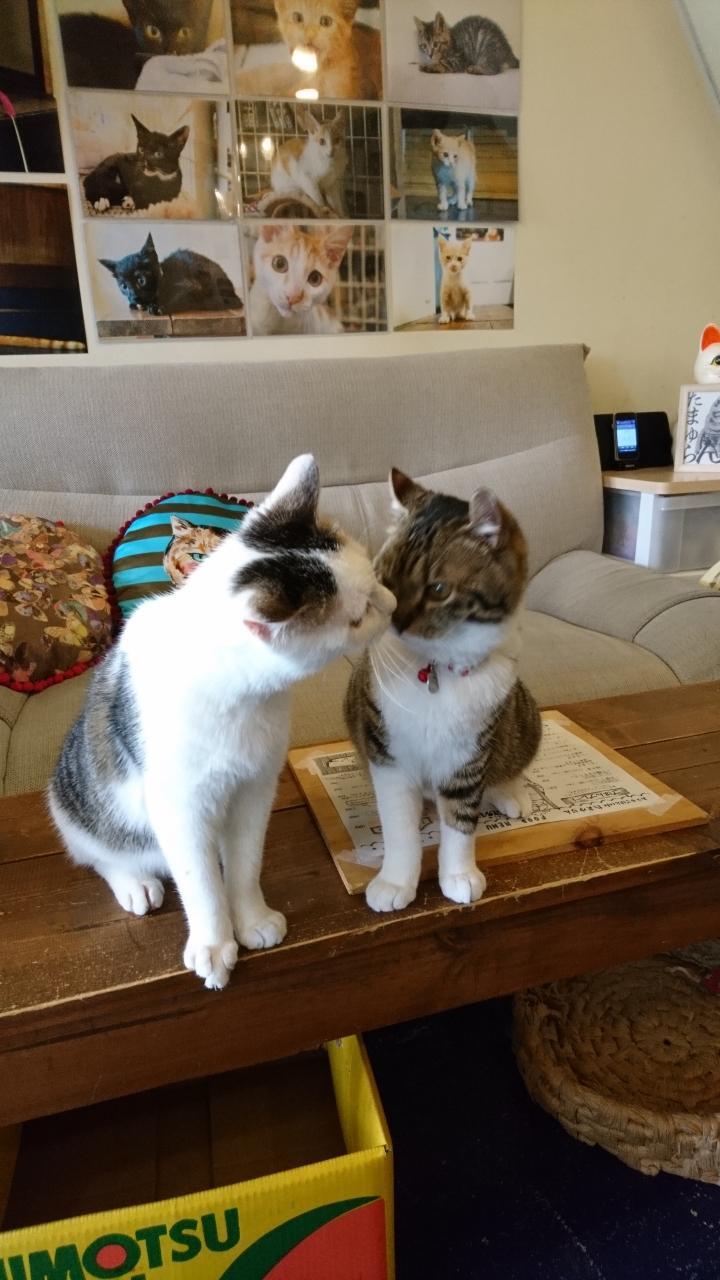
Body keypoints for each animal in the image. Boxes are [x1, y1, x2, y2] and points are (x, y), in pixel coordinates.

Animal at [48, 455, 396, 990]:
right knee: (99, 850)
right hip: (76, 800)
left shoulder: (257, 785)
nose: (394, 604)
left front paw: (250, 917)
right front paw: (214, 944)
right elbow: (199, 884)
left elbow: (247, 859)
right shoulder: (181, 804)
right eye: (356, 618)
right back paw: (134, 881)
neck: (246, 697)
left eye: (376, 579)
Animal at [99, 233, 242, 315]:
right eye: (124, 286)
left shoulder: (192, 286)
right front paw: (137, 304)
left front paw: (158, 307)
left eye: (141, 280)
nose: (134, 296)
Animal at [345, 469, 541, 913]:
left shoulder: (468, 754)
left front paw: (459, 875)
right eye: (384, 580)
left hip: (524, 718)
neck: (436, 669)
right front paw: (395, 881)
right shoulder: (387, 753)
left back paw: (511, 794)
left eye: (438, 590)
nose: (397, 621)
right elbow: (398, 827)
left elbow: (462, 819)